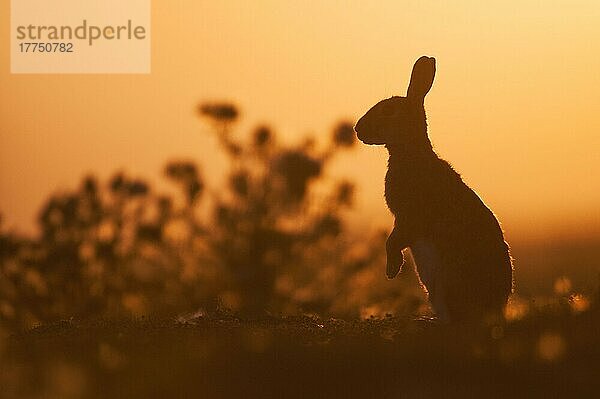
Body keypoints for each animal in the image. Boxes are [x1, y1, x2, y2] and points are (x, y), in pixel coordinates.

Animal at [354, 56, 512, 324]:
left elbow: (393, 241)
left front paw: (391, 271)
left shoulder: (410, 217)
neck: (410, 153)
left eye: (388, 110)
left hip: (448, 282)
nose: (358, 129)